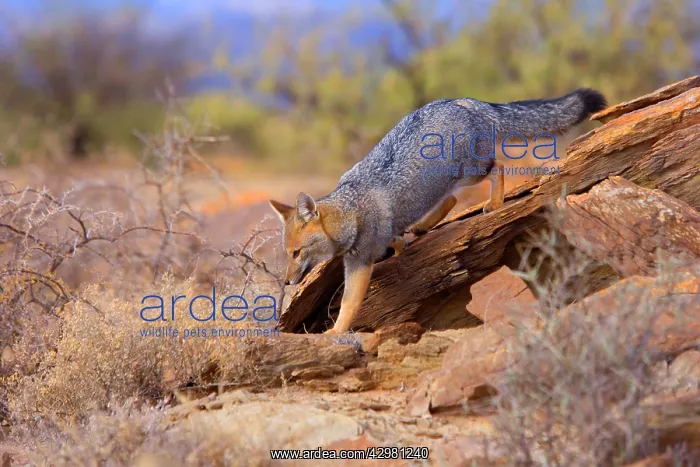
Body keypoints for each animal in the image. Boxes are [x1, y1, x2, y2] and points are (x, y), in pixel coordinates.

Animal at [269, 88, 607, 334]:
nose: (286, 283)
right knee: (451, 201)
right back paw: (422, 227)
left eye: (297, 253)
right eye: (287, 254)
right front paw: (402, 245)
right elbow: (396, 240)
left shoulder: (360, 263)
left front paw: (336, 332)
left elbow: (349, 304)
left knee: (496, 169)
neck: (351, 207)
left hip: (471, 172)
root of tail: (462, 100)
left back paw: (495, 203)